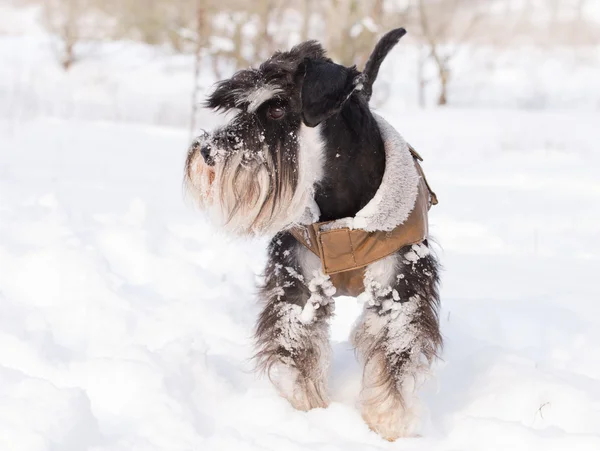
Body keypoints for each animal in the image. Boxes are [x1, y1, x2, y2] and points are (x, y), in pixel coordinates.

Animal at [185, 28, 442, 442]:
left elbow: (392, 362)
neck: (340, 208)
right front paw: (304, 411)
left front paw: (388, 425)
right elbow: (299, 353)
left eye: (276, 109)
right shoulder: (299, 285)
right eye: (241, 108)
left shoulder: (398, 291)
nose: (207, 153)